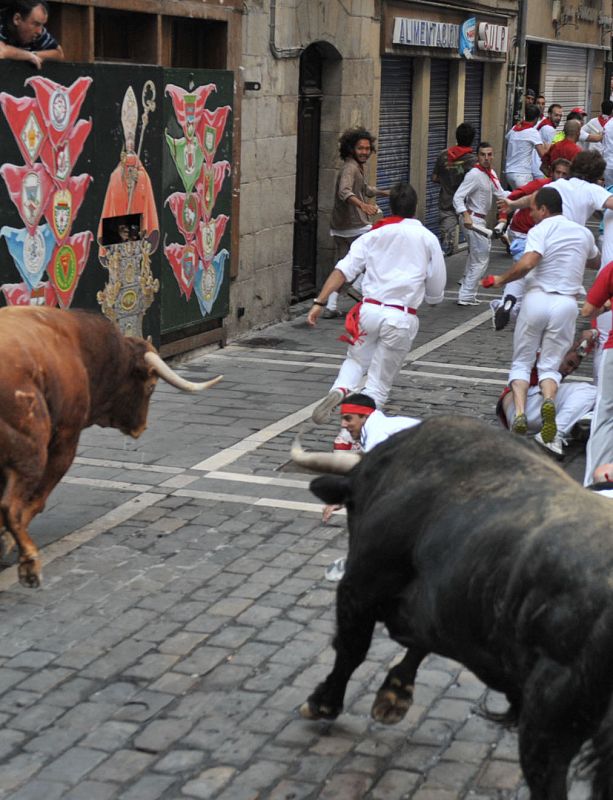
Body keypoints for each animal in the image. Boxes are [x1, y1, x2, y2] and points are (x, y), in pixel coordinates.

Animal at [0, 308, 220, 588]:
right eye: (150, 386)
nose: (141, 427)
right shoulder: (65, 441)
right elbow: (36, 501)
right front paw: (8, 542)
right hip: (33, 452)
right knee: (12, 506)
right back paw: (29, 565)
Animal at [298, 418, 612, 800]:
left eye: (352, 507)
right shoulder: (440, 609)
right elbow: (418, 643)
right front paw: (395, 693)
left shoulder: (359, 587)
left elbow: (351, 649)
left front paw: (323, 702)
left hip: (546, 722)